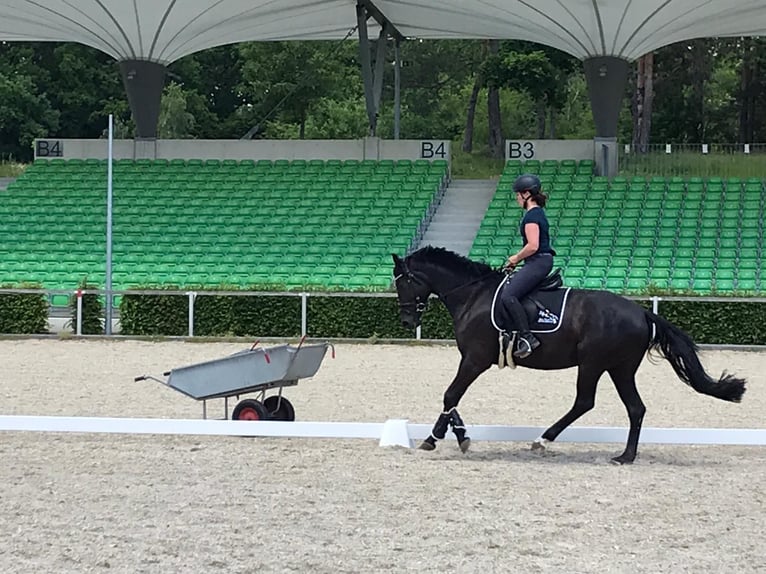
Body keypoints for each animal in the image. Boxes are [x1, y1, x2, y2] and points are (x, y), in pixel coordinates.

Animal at [392, 246, 748, 464]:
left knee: (584, 402)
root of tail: (642, 312)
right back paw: (625, 457)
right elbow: (452, 399)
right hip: (620, 368)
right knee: (635, 408)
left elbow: (450, 394)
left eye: (403, 282)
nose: (407, 320)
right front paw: (455, 436)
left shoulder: (475, 359)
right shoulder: (474, 360)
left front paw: (435, 438)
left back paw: (543, 440)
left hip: (592, 363)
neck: (473, 295)